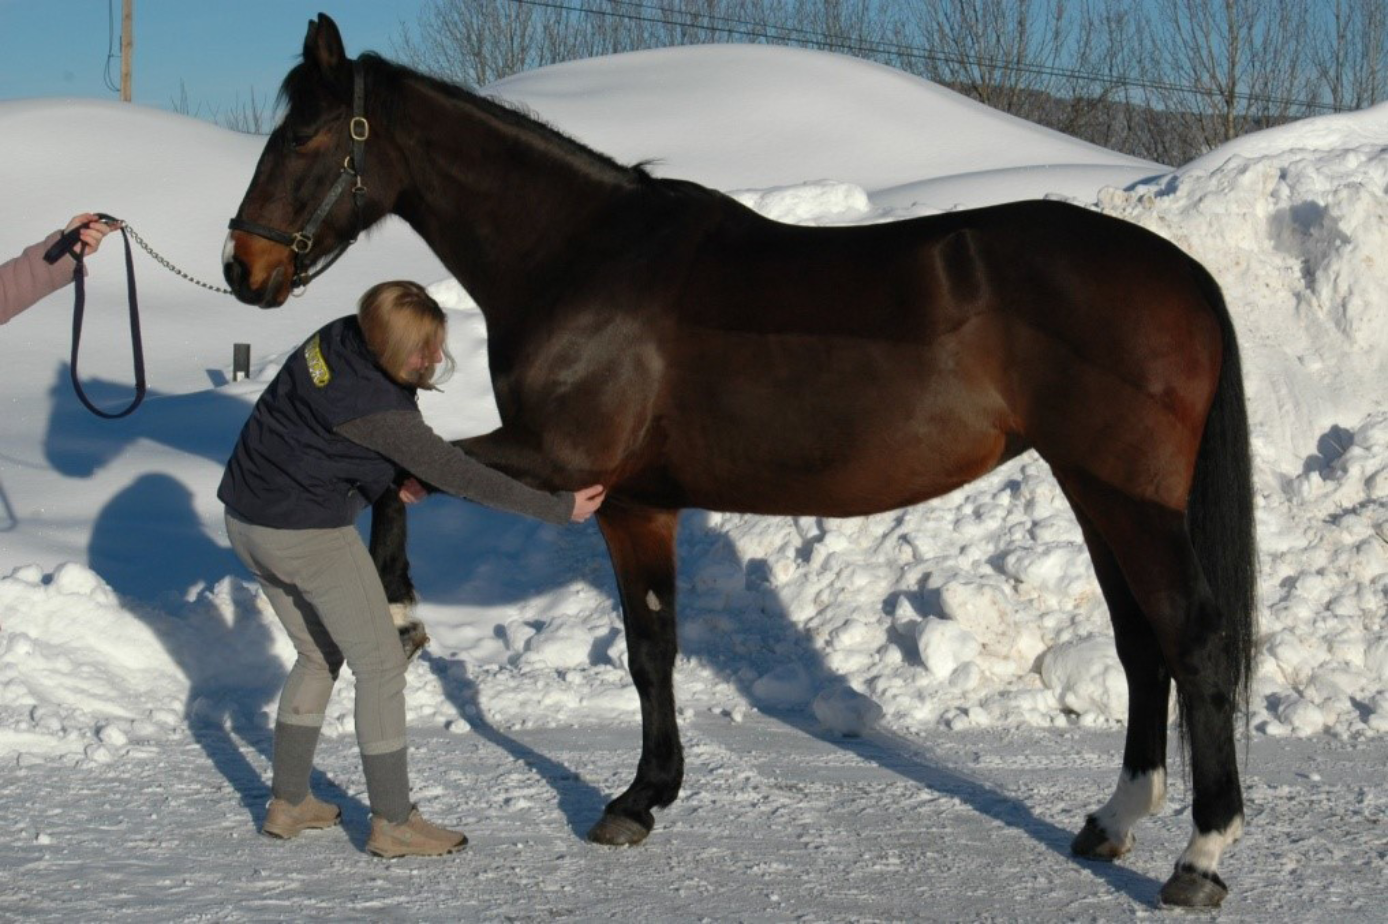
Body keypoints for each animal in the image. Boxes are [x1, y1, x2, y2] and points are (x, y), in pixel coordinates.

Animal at [224, 14, 1256, 909]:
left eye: (305, 135)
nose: (242, 268)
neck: (580, 259)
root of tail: (1181, 272)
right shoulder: (633, 503)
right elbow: (651, 649)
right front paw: (642, 798)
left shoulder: (557, 460)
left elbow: (403, 483)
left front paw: (402, 615)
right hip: (1093, 489)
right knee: (1141, 643)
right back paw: (1113, 822)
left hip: (1130, 498)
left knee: (1193, 640)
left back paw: (1200, 859)